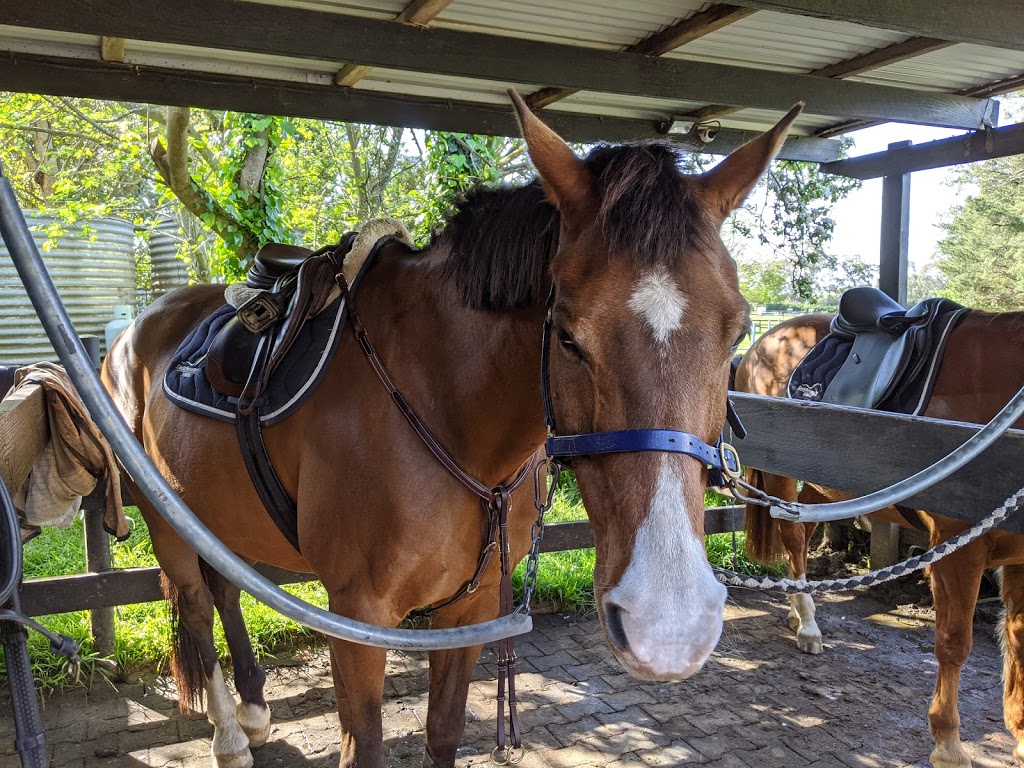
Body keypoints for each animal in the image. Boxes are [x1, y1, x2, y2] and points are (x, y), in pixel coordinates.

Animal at [101, 94, 798, 768]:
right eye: (568, 335)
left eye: (737, 332)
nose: (669, 624)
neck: (442, 405)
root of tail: (138, 328)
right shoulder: (357, 619)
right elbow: (366, 749)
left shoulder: (472, 608)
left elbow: (443, 733)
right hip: (165, 519)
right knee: (194, 602)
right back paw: (228, 735)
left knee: (223, 588)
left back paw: (251, 710)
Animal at [737, 313, 1024, 768]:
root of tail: (765, 340)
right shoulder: (957, 550)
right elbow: (954, 644)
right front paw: (948, 745)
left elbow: (1018, 643)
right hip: (781, 475)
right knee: (794, 539)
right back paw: (808, 626)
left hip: (825, 485)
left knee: (804, 530)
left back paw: (798, 613)